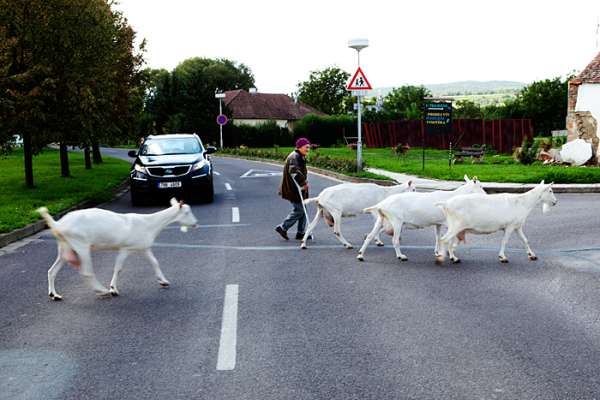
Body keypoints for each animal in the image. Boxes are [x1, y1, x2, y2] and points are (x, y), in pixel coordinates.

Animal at [36, 197, 198, 300]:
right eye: (186, 212)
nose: (195, 224)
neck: (149, 223)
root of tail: (59, 225)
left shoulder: (143, 247)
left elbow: (154, 262)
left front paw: (163, 281)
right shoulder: (125, 247)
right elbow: (118, 268)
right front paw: (113, 289)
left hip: (65, 246)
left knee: (52, 270)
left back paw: (54, 295)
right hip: (80, 243)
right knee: (87, 272)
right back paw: (101, 290)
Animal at [358, 175, 486, 262]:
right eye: (480, 186)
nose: (485, 195)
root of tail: (381, 205)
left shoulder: (438, 222)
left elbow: (438, 237)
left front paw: (437, 252)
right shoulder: (450, 223)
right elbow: (448, 239)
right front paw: (453, 257)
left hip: (382, 219)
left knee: (370, 236)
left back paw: (360, 255)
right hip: (396, 221)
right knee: (395, 240)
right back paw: (401, 256)